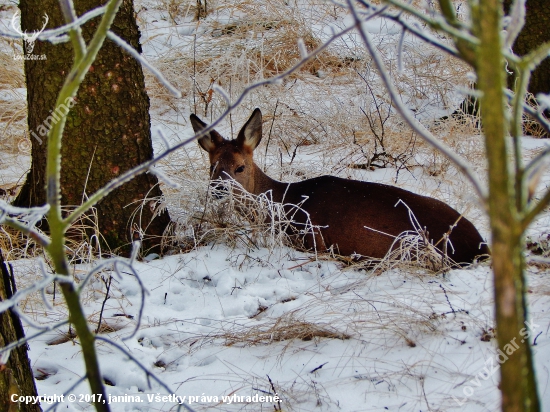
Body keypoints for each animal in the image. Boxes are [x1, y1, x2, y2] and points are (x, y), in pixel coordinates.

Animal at [193, 108, 492, 264]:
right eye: (212, 167)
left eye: (240, 167)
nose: (218, 189)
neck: (283, 201)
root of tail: (481, 246)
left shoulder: (311, 237)